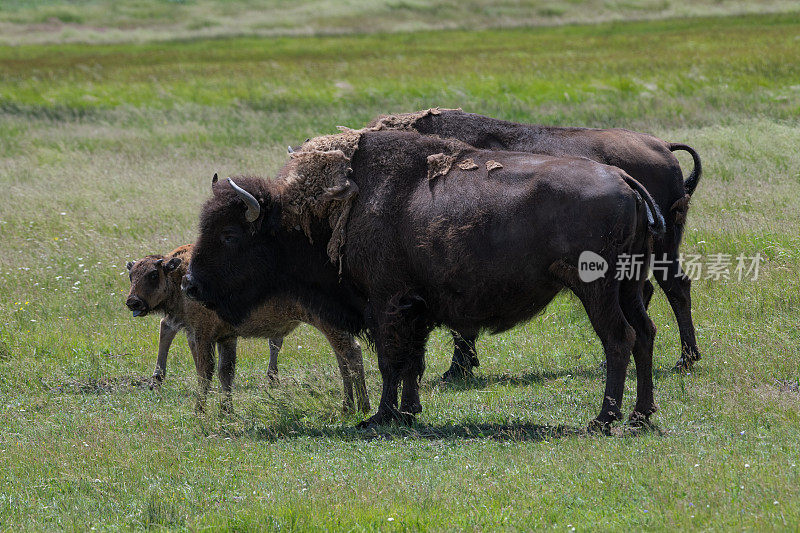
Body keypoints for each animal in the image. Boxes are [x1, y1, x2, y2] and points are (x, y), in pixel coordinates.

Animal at [126, 241, 372, 412]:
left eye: (153, 274)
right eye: (131, 275)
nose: (132, 302)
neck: (179, 274)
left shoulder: (201, 335)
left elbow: (205, 372)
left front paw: (199, 411)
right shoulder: (225, 337)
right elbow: (226, 372)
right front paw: (226, 412)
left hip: (329, 325)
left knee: (351, 353)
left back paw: (363, 406)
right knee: (343, 359)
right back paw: (348, 407)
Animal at [186, 130, 664, 432]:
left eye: (229, 235)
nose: (190, 284)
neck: (322, 215)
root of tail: (625, 180)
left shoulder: (386, 305)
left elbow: (390, 362)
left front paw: (378, 418)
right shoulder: (415, 309)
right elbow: (412, 363)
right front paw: (409, 412)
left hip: (597, 289)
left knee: (618, 339)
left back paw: (603, 419)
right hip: (630, 286)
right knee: (644, 334)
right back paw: (641, 415)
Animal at [366, 108, 704, 376]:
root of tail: (663, 146)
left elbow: (462, 325)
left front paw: (456, 371)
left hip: (663, 247)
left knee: (675, 286)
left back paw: (685, 360)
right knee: (652, 290)